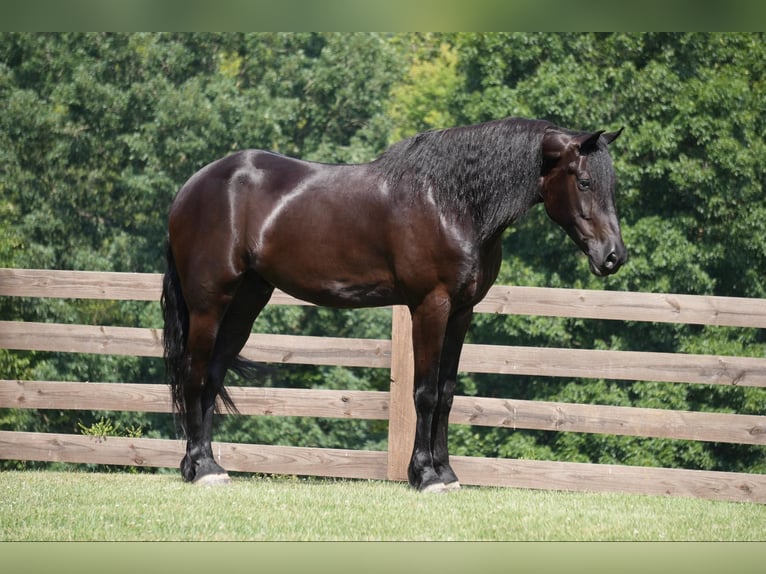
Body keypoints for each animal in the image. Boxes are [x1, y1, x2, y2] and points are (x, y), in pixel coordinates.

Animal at [160, 118, 624, 496]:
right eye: (584, 182)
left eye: (612, 186)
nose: (613, 256)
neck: (451, 202)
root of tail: (191, 186)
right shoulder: (430, 306)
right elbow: (425, 392)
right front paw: (425, 475)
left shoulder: (461, 312)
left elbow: (447, 392)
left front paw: (447, 473)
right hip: (209, 304)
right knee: (194, 374)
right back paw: (201, 468)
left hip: (246, 302)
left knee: (212, 376)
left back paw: (208, 465)